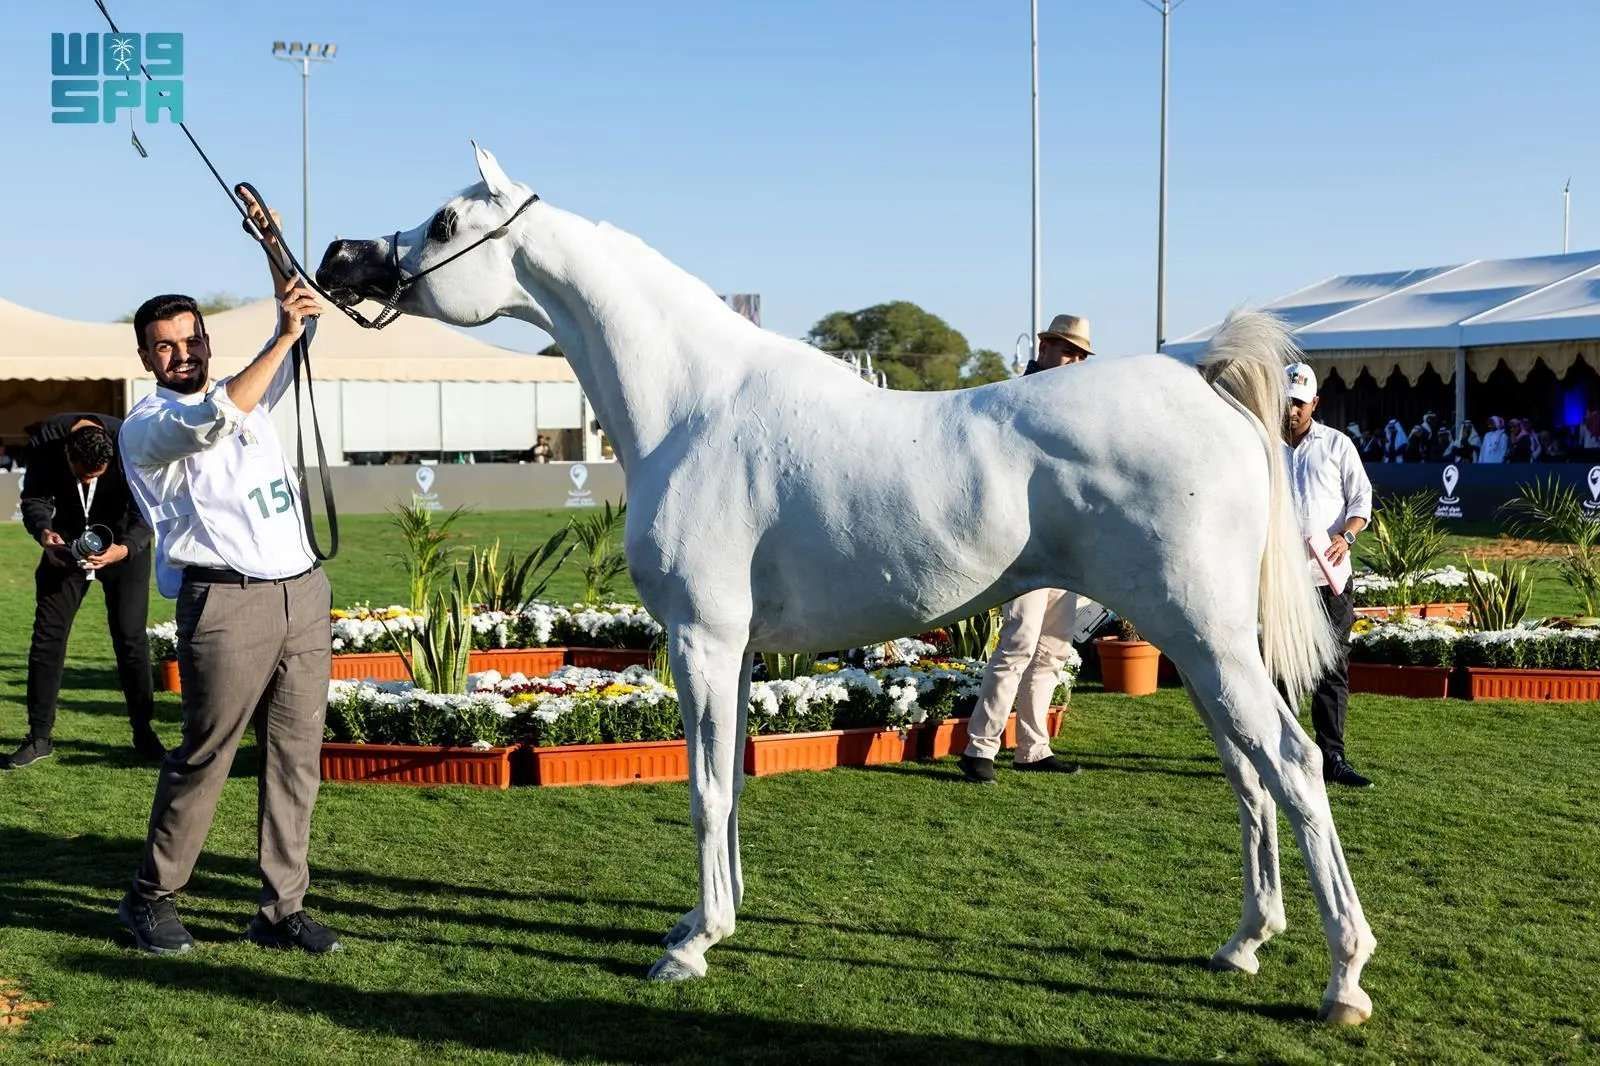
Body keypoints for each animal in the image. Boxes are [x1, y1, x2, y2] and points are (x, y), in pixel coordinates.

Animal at [315, 143, 1376, 1024]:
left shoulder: (701, 639)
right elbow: (729, 784)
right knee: (1249, 772)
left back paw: (1343, 980)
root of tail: (1206, 386)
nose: (338, 259)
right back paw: (1244, 944)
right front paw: (715, 921)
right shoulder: (736, 650)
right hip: (1196, 643)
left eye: (445, 222)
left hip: (1206, 635)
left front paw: (690, 948)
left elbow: (703, 787)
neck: (694, 403)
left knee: (1293, 763)